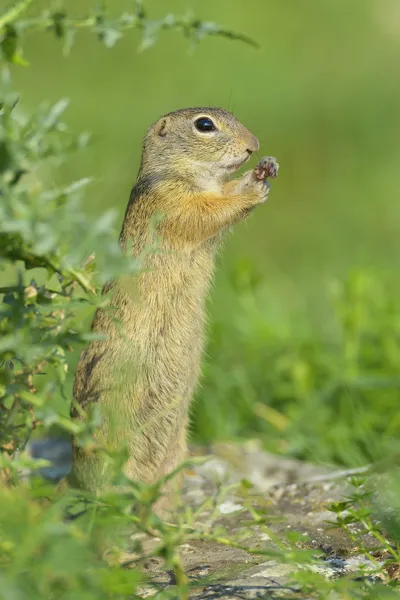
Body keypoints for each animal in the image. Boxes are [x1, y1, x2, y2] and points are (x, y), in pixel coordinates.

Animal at [71, 108, 278, 510]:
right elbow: (210, 211)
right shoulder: (175, 203)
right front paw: (255, 185)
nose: (254, 145)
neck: (181, 172)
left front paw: (265, 168)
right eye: (204, 124)